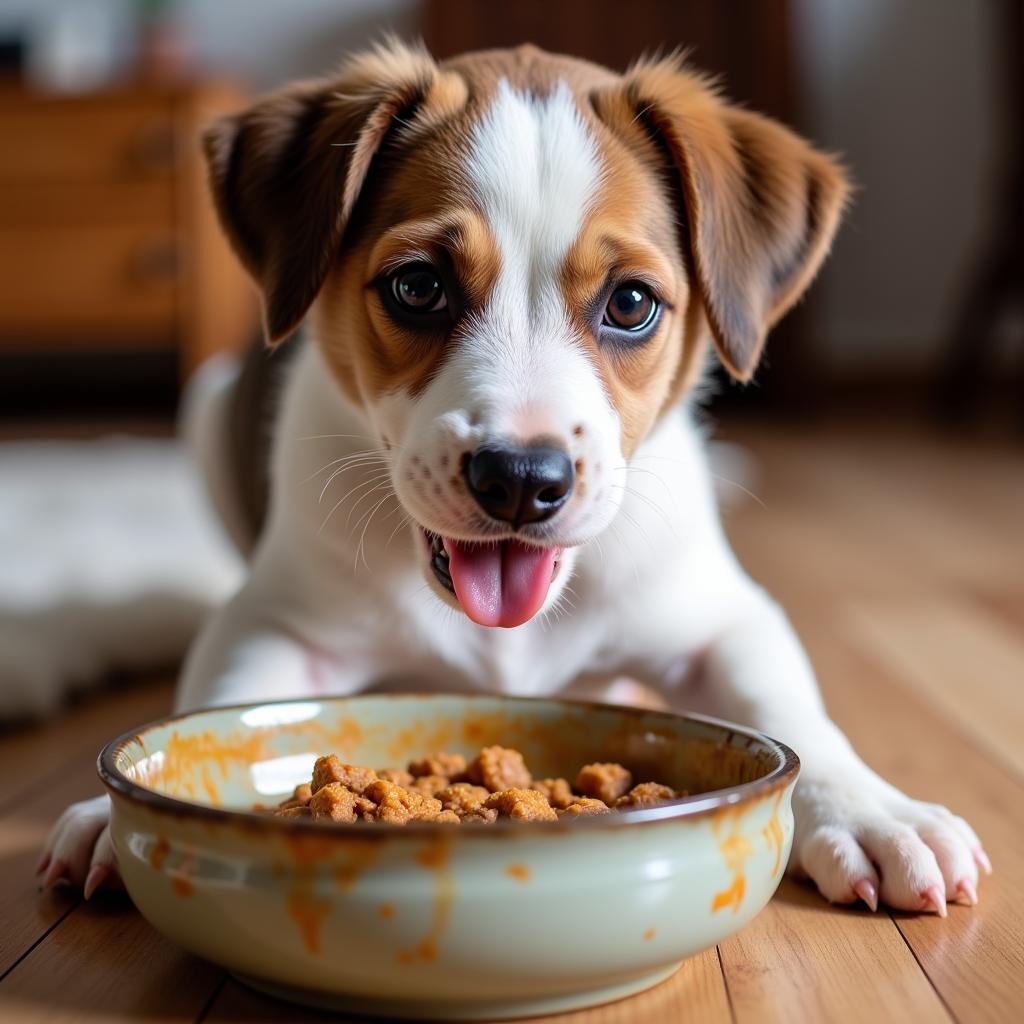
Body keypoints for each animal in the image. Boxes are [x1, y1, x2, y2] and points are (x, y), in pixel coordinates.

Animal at [41, 44, 991, 917]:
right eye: (418, 286)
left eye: (632, 303)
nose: (522, 480)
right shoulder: (273, 620)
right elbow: (222, 694)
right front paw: (110, 811)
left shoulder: (723, 619)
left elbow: (795, 710)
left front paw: (874, 812)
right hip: (203, 415)